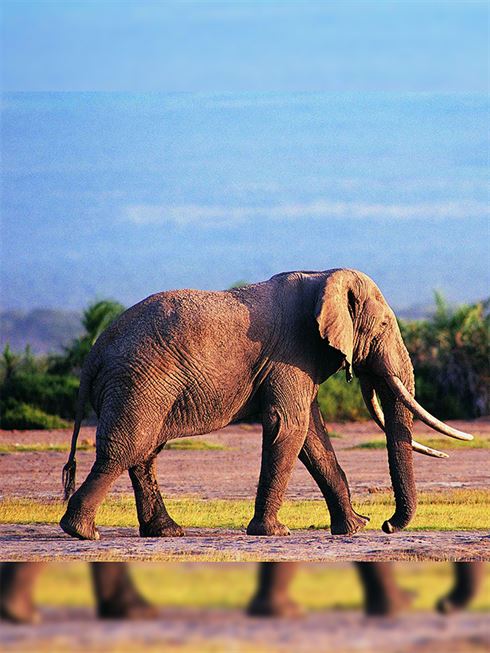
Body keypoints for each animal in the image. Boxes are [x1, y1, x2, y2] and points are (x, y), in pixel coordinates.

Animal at [59, 268, 473, 540]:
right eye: (385, 326)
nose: (387, 524)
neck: (324, 275)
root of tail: (93, 353)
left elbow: (312, 435)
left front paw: (354, 528)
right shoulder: (291, 353)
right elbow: (290, 426)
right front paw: (275, 533)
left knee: (144, 453)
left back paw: (166, 532)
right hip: (138, 383)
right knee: (126, 449)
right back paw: (82, 533)